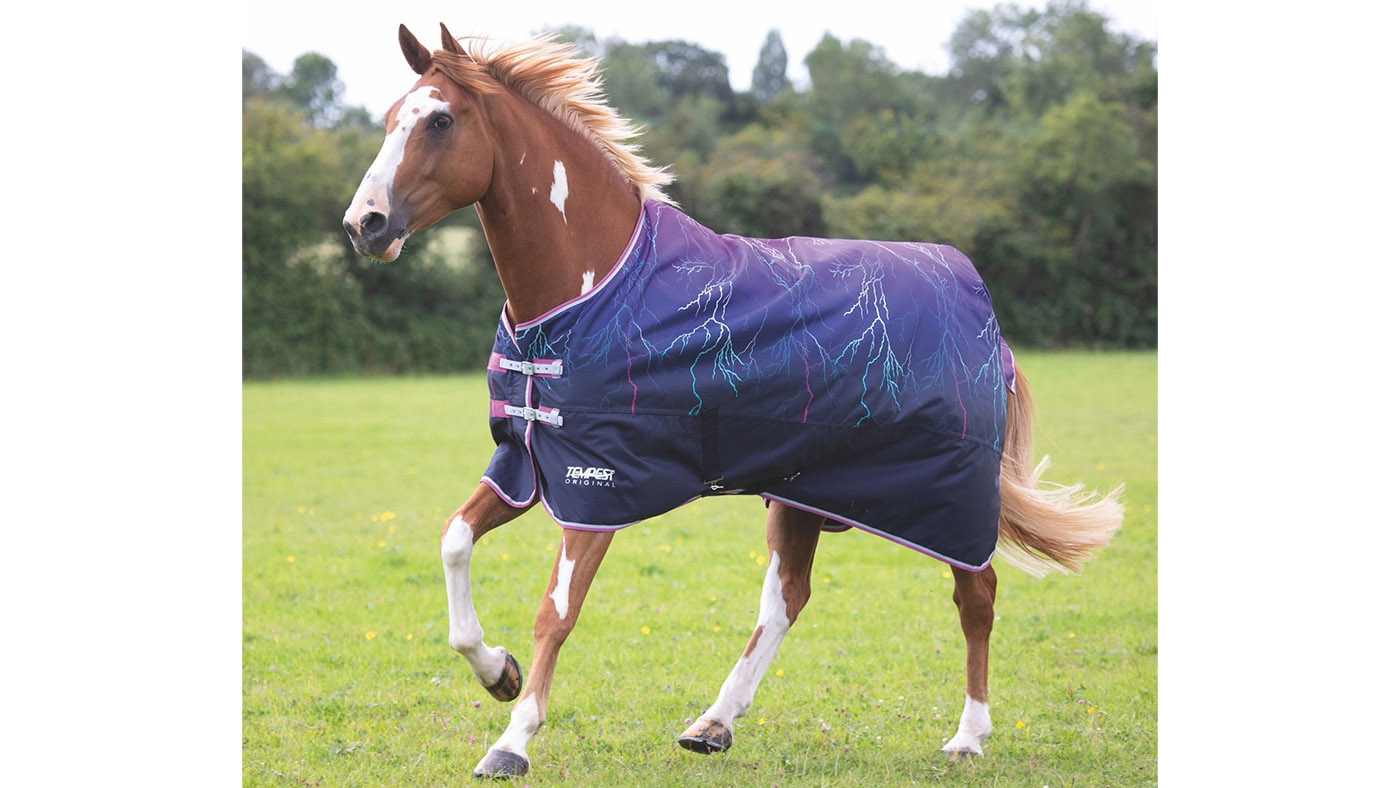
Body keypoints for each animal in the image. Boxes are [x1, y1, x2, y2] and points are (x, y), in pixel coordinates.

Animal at [342, 24, 1124, 779]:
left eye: (440, 120)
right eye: (387, 119)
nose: (365, 224)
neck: (590, 289)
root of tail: (992, 329)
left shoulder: (600, 488)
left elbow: (556, 612)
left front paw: (512, 742)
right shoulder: (526, 464)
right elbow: (453, 541)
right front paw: (495, 673)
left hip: (947, 500)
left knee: (976, 596)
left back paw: (968, 736)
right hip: (807, 490)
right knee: (787, 599)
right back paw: (712, 724)